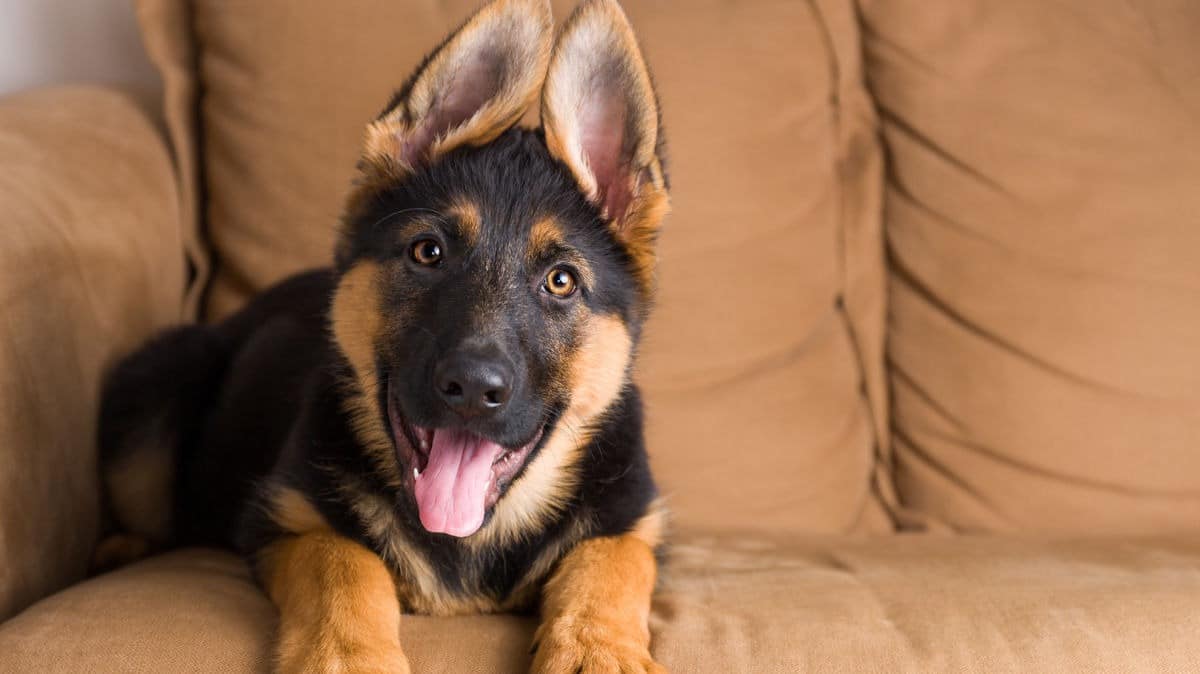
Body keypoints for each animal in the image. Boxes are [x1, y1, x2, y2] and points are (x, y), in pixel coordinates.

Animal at [93, 0, 676, 666]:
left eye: (561, 281)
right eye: (428, 252)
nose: (472, 389)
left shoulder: (634, 521)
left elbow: (609, 561)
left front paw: (597, 653)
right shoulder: (288, 517)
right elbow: (344, 561)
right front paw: (346, 657)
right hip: (159, 383)